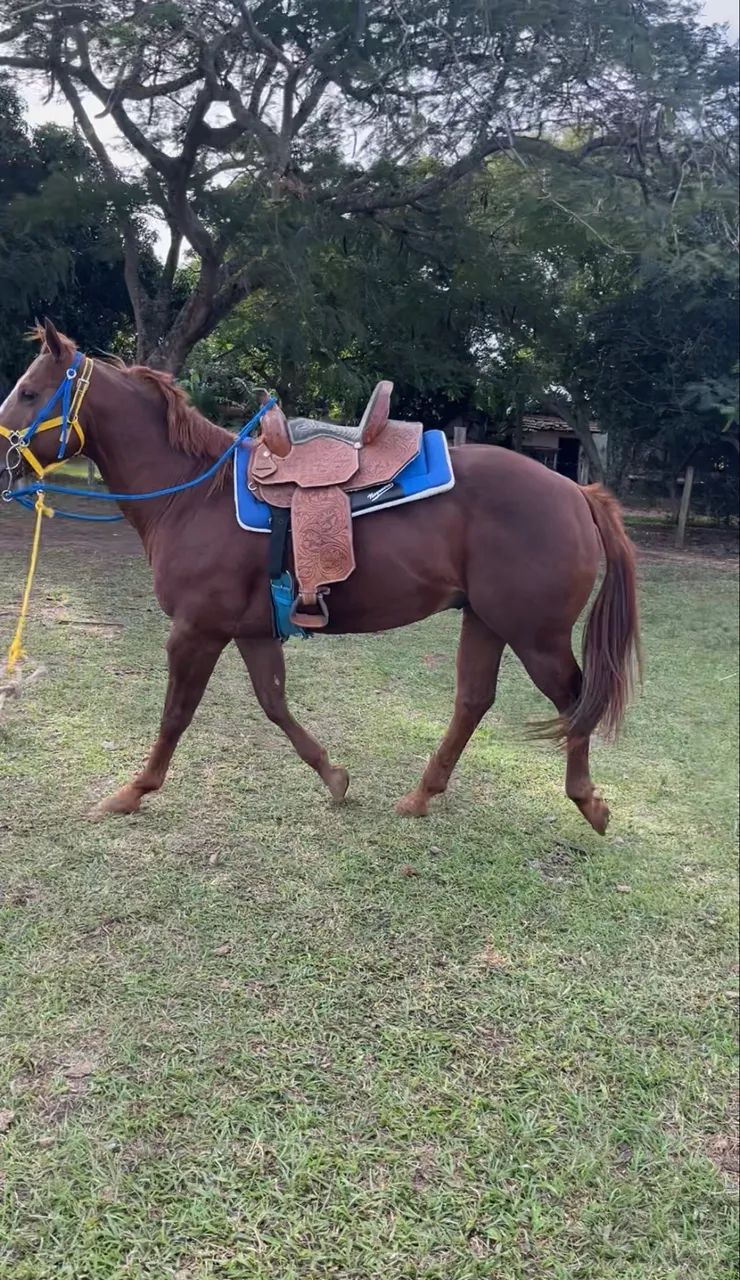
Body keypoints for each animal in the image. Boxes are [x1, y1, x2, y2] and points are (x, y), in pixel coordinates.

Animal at [0, 321, 640, 832]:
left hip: (535, 635)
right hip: (486, 620)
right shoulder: (252, 632)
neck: (192, 496)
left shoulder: (195, 632)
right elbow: (274, 704)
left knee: (574, 699)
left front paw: (132, 792)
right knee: (474, 700)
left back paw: (587, 802)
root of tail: (576, 492)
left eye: (29, 393)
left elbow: (176, 715)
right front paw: (333, 775)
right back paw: (421, 795)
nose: (1, 466)